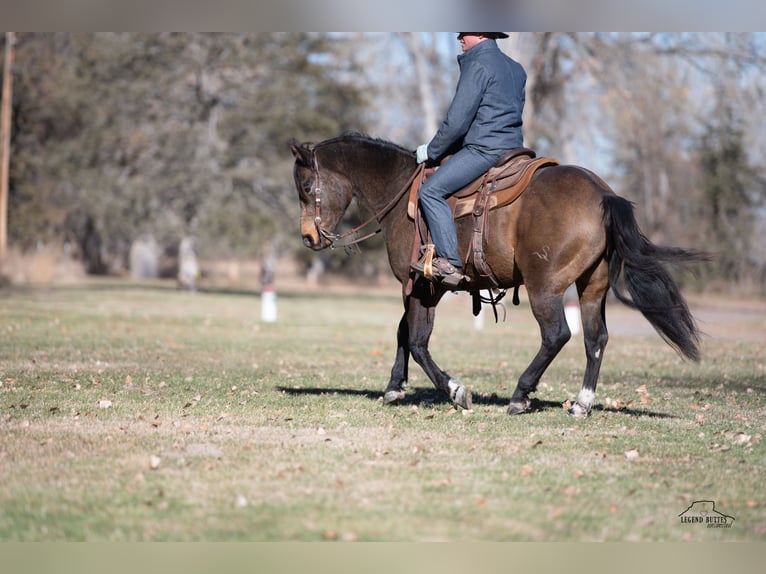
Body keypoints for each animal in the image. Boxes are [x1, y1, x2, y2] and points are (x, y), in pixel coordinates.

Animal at [288, 134, 704, 418]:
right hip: (591, 287)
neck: (403, 194)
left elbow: (418, 341)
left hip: (544, 288)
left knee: (557, 335)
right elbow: (404, 334)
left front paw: (454, 390)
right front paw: (393, 388)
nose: (308, 237)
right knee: (595, 339)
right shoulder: (421, 289)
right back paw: (582, 403)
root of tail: (603, 194)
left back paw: (521, 395)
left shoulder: (422, 286)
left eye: (307, 186)